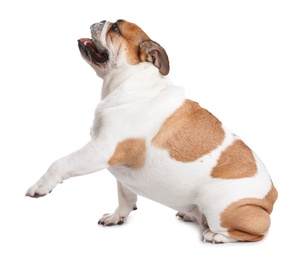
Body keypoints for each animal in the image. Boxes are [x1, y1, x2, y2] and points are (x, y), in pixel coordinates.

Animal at [25, 19, 276, 243]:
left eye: (116, 28)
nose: (101, 20)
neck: (130, 80)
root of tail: (271, 198)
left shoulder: (100, 150)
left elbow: (60, 163)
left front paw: (40, 186)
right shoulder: (119, 170)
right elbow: (125, 196)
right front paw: (117, 217)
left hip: (215, 202)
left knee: (255, 233)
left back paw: (216, 236)